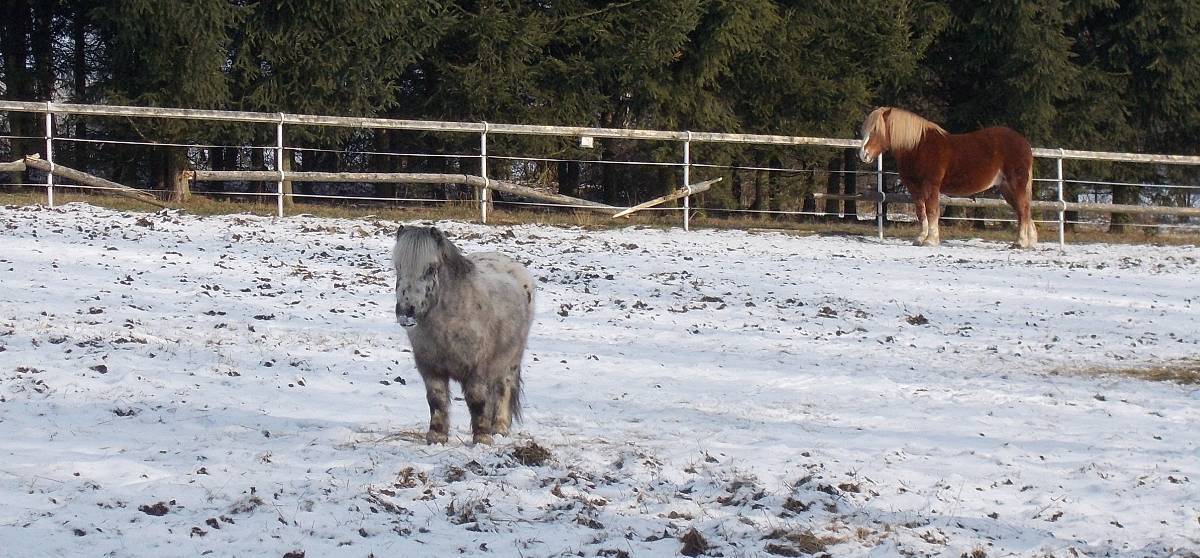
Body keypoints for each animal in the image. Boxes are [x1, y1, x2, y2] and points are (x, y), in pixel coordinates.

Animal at [392, 226, 535, 445]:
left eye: (430, 269)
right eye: (398, 267)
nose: (405, 312)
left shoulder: (476, 368)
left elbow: (476, 400)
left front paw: (482, 438)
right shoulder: (431, 368)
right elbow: (437, 400)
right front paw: (437, 436)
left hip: (510, 360)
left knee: (504, 388)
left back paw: (499, 428)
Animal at [858, 107, 1037, 248]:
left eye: (876, 130)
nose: (863, 155)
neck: (917, 147)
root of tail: (1024, 143)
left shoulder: (931, 186)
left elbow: (932, 211)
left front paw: (930, 240)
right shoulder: (914, 188)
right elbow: (920, 212)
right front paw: (920, 239)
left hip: (1016, 184)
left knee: (1023, 209)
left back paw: (1020, 242)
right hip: (1006, 188)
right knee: (1023, 210)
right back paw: (1030, 241)